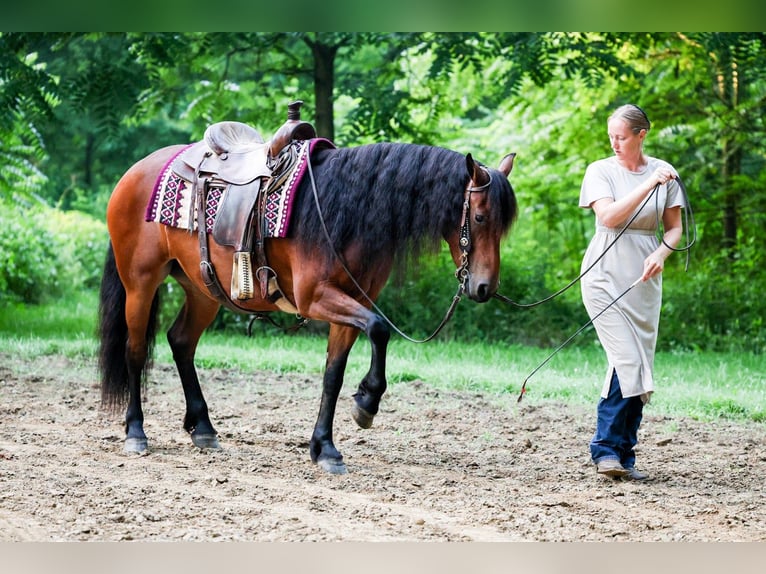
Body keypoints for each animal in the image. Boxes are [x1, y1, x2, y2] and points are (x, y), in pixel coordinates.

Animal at [98, 135, 517, 474]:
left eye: (503, 226)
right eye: (480, 217)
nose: (484, 287)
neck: (343, 211)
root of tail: (133, 173)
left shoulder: (351, 303)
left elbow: (334, 373)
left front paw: (325, 447)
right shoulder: (316, 298)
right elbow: (380, 328)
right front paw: (367, 402)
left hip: (203, 290)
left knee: (182, 342)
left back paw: (202, 427)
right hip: (140, 284)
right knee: (135, 350)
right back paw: (135, 431)